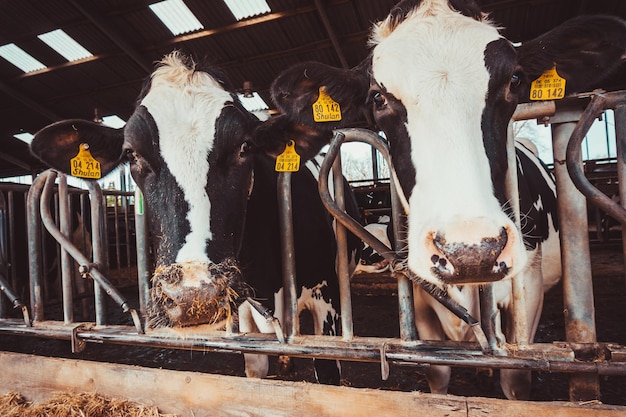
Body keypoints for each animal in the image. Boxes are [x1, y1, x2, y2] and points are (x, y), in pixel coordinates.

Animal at [30, 51, 366, 384]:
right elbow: (256, 369)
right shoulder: (244, 316)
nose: (193, 296)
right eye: (131, 154)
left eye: (245, 146)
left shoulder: (327, 301)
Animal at [264, 0, 624, 398]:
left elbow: (515, 377)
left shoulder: (528, 290)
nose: (471, 253)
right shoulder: (421, 301)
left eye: (514, 80)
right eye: (378, 97)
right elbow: (439, 373)